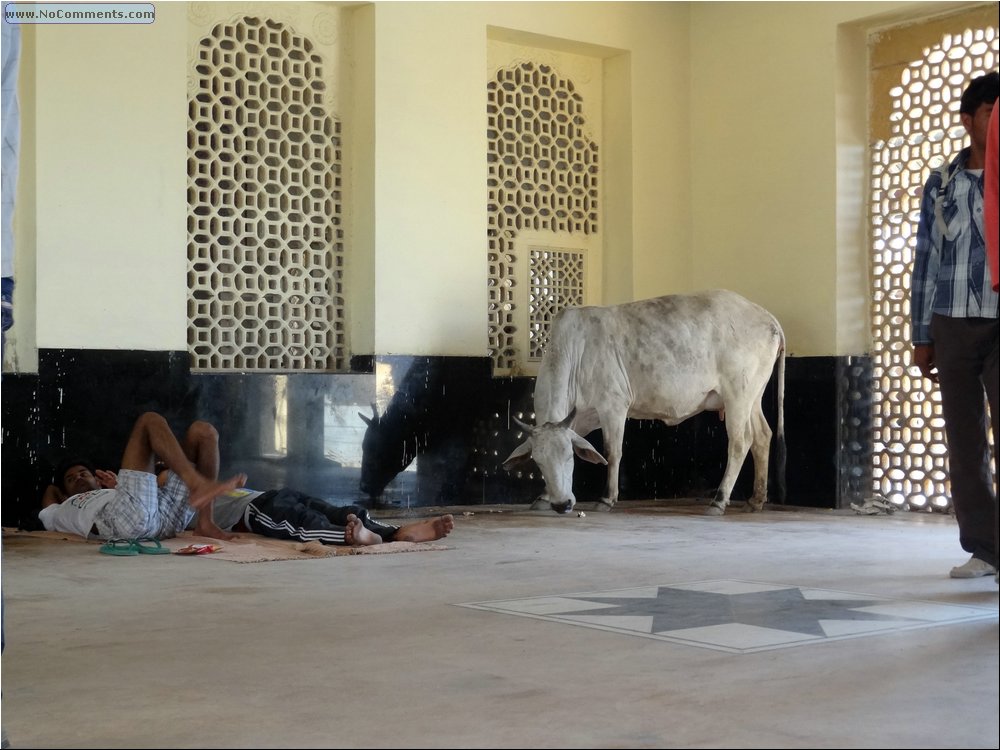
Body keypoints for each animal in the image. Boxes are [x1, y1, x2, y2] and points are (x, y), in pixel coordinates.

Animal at [504, 292, 784, 516]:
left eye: (569, 458)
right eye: (539, 463)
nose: (562, 504)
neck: (574, 352)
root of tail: (768, 318)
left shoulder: (613, 406)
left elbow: (612, 452)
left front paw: (606, 499)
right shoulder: (577, 421)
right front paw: (543, 496)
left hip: (738, 395)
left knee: (740, 442)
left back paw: (719, 500)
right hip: (753, 397)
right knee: (762, 437)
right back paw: (756, 500)